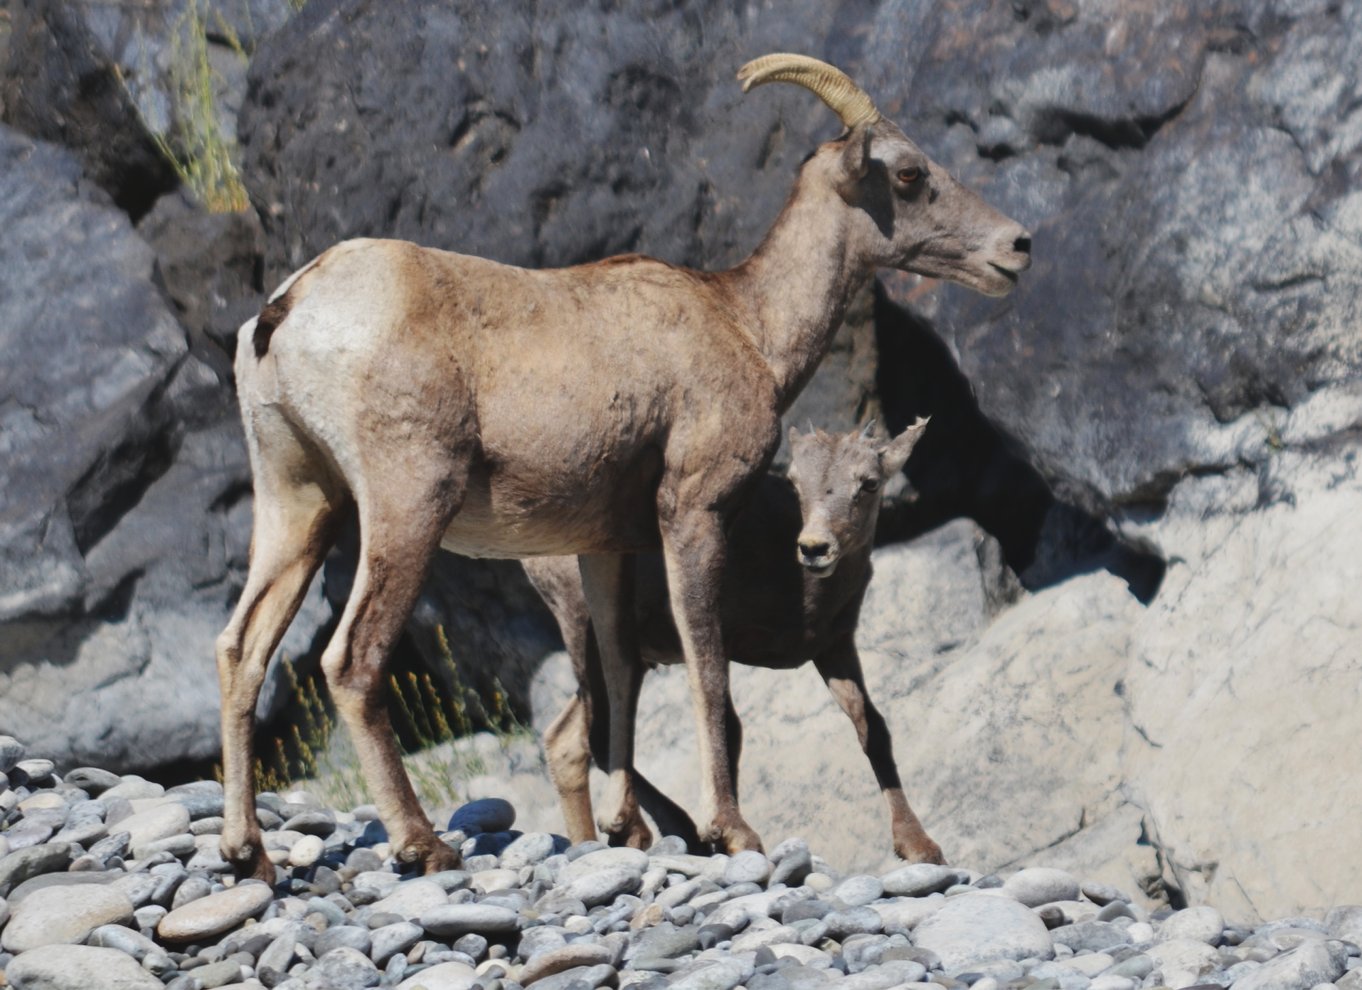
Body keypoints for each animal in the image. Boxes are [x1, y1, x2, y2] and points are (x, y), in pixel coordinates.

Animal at [525, 422, 942, 866]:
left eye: (869, 483)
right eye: (796, 482)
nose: (814, 548)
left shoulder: (835, 647)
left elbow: (871, 727)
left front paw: (919, 846)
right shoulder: (721, 642)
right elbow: (728, 729)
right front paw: (730, 839)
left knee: (566, 739)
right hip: (585, 630)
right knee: (597, 734)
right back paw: (667, 831)